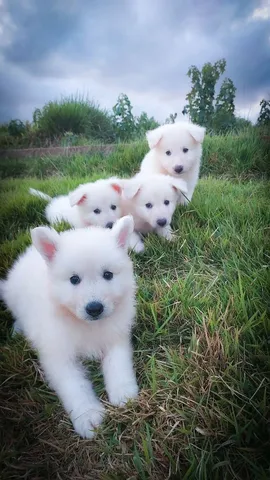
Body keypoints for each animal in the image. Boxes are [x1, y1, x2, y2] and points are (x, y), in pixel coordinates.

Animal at [0, 217, 138, 438]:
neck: (86, 325)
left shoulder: (116, 336)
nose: (94, 308)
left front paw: (123, 393)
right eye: (74, 279)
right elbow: (75, 385)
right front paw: (88, 416)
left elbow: (118, 364)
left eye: (108, 275)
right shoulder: (58, 355)